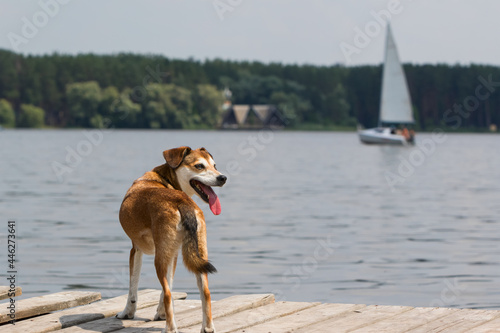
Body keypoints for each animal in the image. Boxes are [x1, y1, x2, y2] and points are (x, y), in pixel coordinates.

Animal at [116, 146, 226, 332]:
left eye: (214, 165)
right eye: (200, 166)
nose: (222, 178)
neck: (165, 179)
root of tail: (181, 201)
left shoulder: (135, 249)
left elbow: (133, 287)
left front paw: (127, 313)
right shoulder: (172, 254)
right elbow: (168, 283)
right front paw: (161, 313)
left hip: (159, 258)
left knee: (168, 293)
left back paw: (170, 328)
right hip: (198, 254)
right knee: (205, 292)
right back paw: (208, 328)